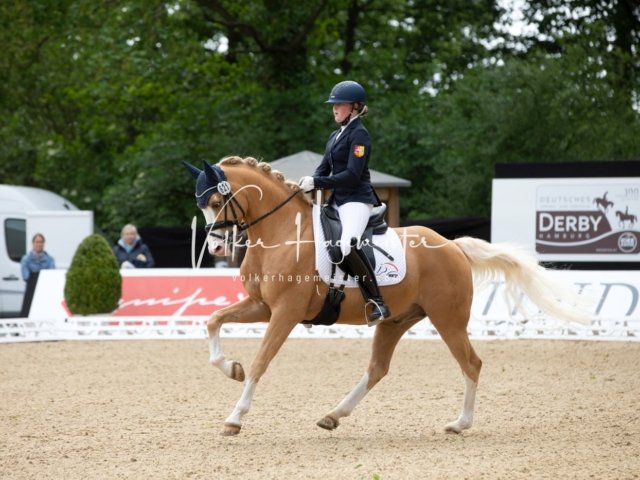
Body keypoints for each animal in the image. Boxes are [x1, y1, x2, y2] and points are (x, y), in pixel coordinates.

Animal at [184, 156, 589, 437]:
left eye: (217, 201)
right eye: (201, 203)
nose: (217, 246)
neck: (283, 232)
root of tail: (453, 246)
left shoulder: (284, 312)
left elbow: (260, 363)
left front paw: (234, 418)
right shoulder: (262, 306)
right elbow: (213, 322)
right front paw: (229, 368)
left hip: (448, 319)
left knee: (471, 364)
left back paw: (460, 424)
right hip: (396, 320)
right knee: (378, 369)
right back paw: (333, 416)